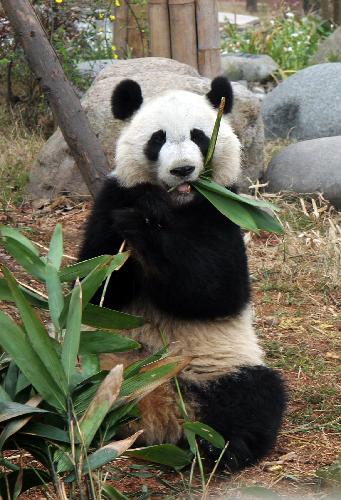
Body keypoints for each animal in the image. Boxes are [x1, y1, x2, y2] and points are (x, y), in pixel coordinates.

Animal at [79, 76, 284, 470]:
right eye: (157, 139)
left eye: (199, 136)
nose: (182, 170)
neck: (178, 202)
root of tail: (157, 407)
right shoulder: (112, 197)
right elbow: (95, 288)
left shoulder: (224, 210)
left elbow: (215, 290)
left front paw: (149, 229)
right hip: (93, 362)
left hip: (219, 367)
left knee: (255, 396)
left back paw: (222, 448)